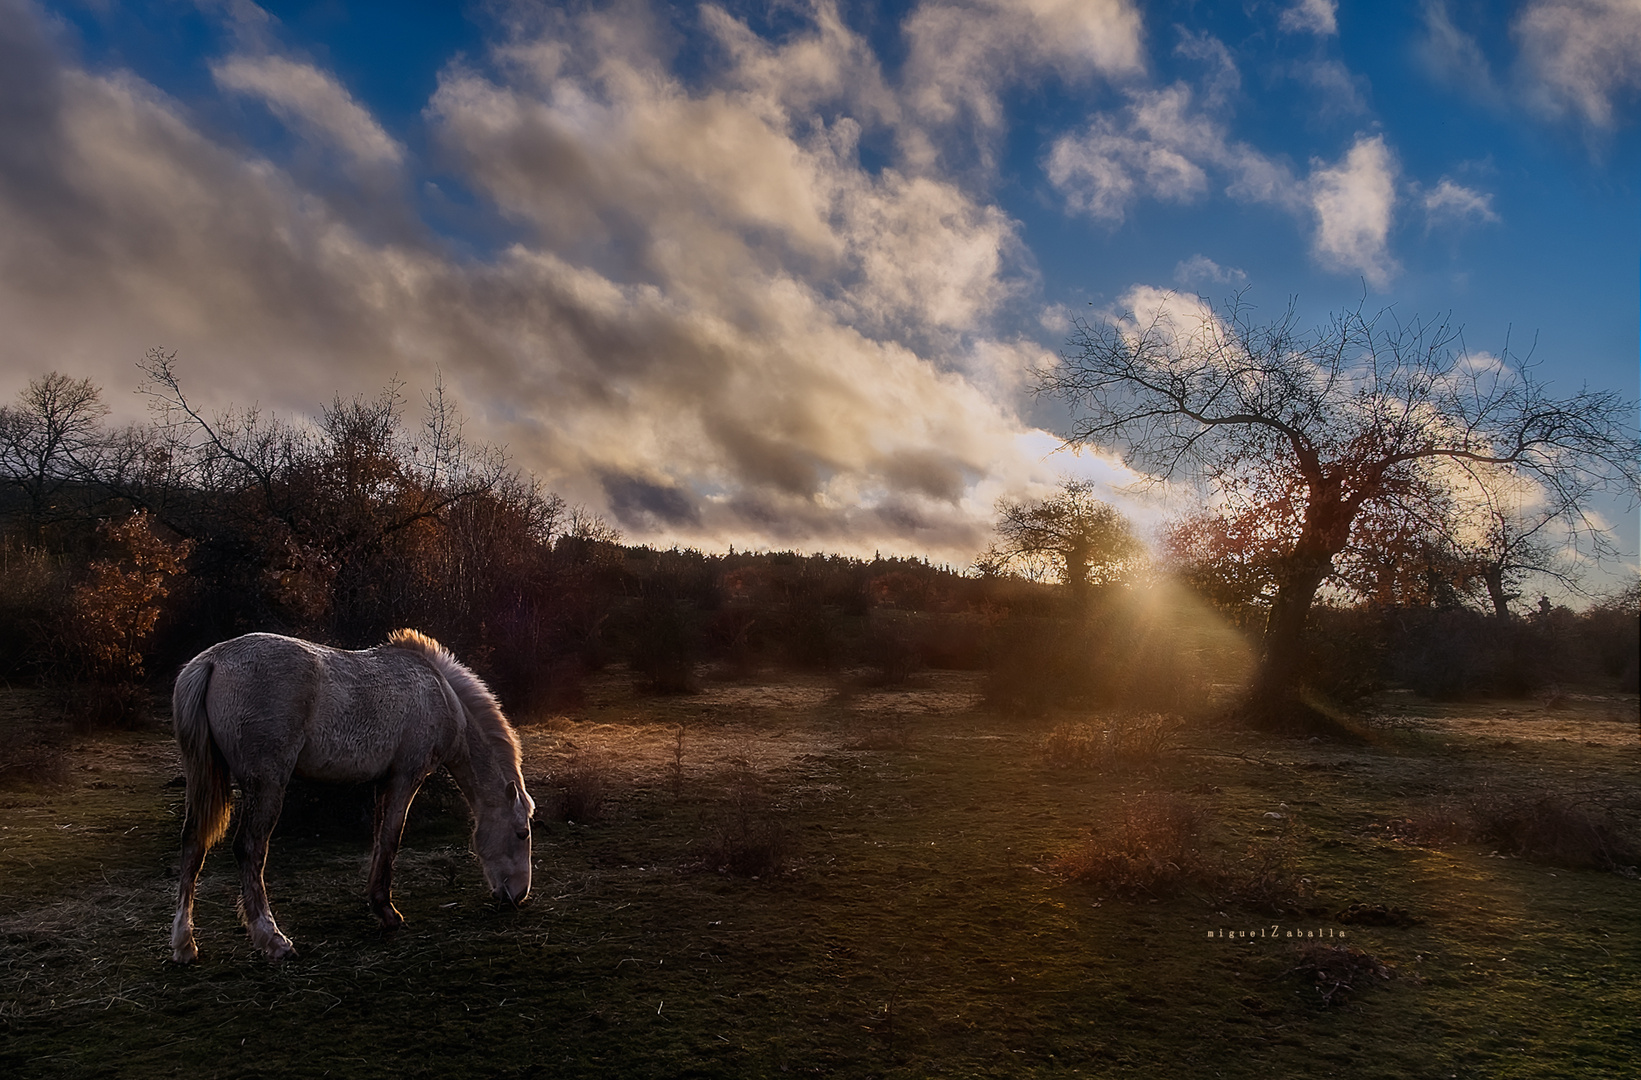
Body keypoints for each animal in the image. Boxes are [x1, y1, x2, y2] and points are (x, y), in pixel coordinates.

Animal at [164, 626, 531, 965]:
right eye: (521, 833)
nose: (517, 895)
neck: (439, 691)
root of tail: (212, 660)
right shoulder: (406, 777)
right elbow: (391, 839)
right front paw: (387, 912)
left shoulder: (383, 782)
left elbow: (380, 839)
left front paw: (378, 905)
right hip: (266, 784)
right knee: (249, 849)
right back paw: (272, 939)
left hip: (205, 779)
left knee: (193, 844)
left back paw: (184, 944)